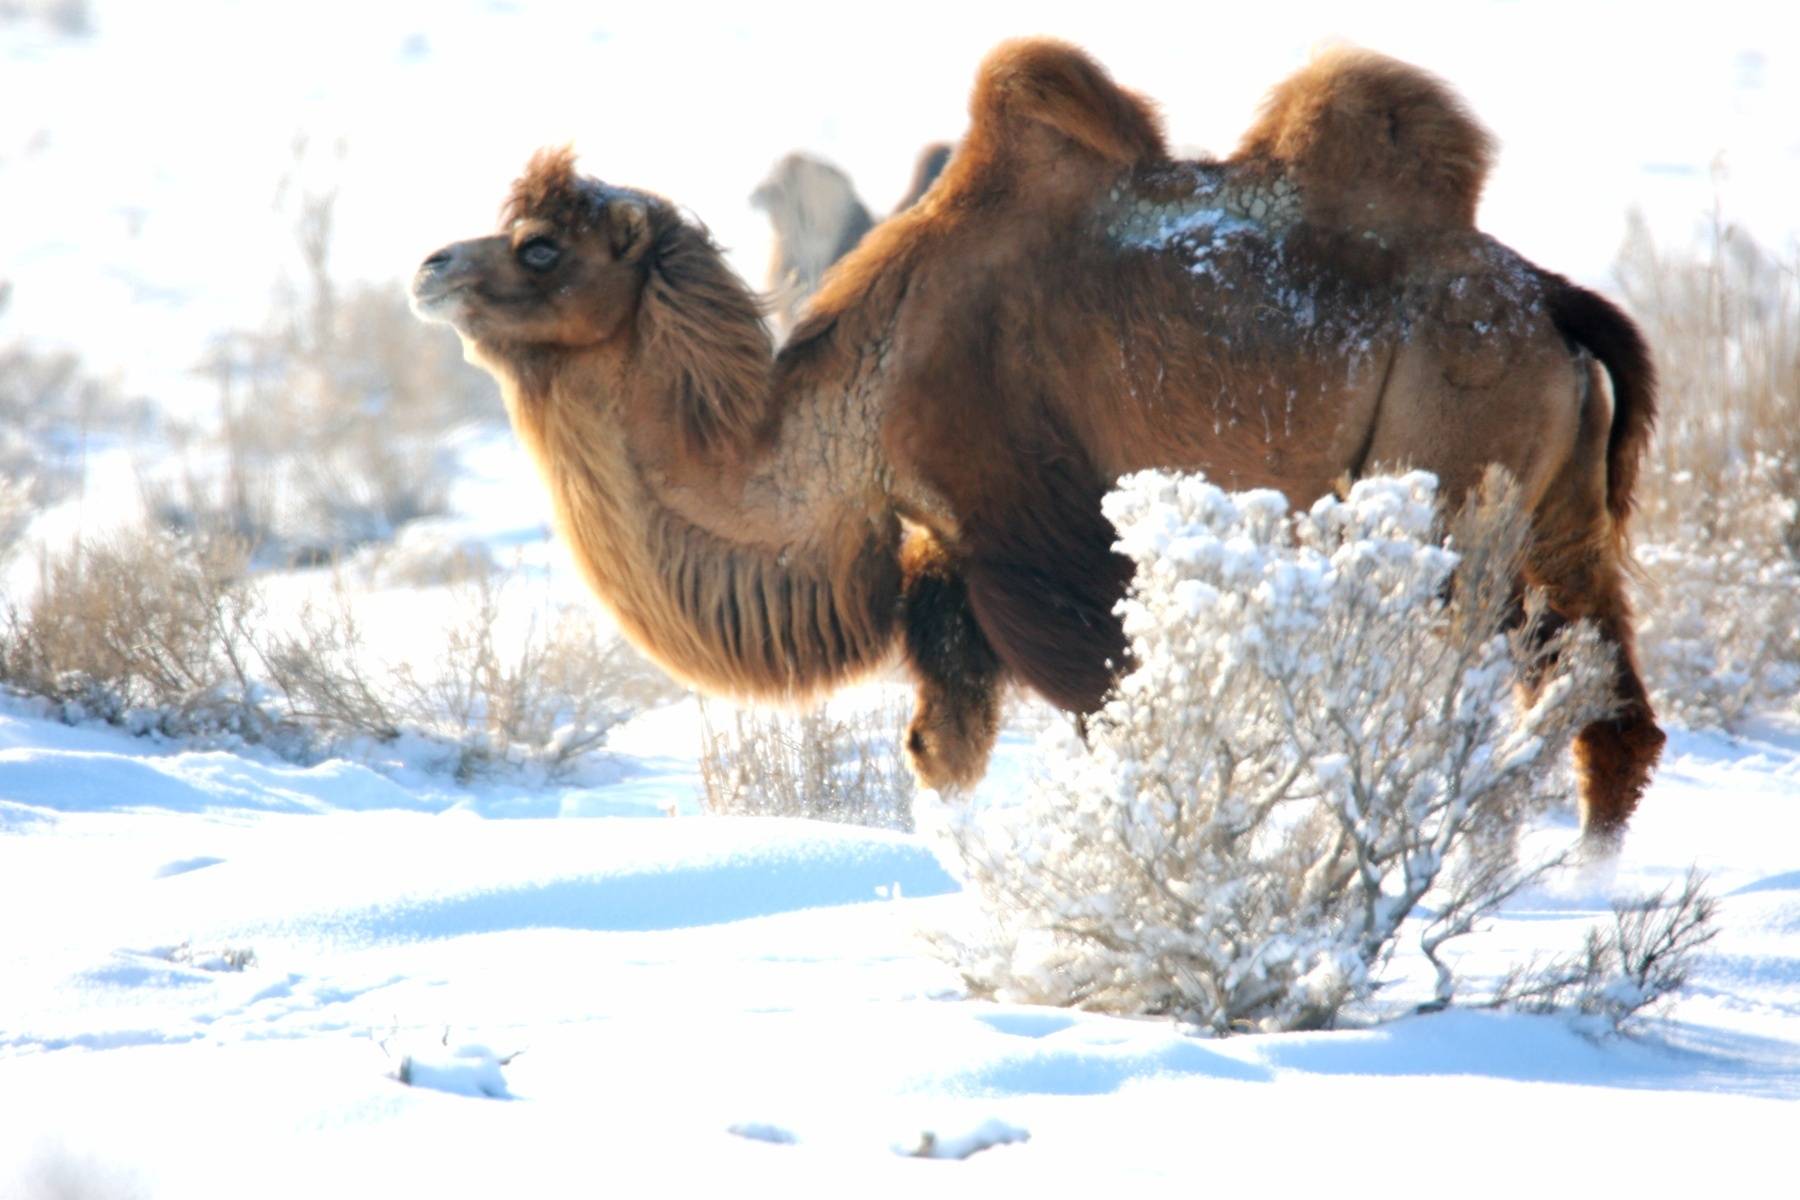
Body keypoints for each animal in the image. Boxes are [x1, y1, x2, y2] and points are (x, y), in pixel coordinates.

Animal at [414, 37, 1663, 845]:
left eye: (538, 247)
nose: (430, 266)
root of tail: (1550, 302)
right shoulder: (944, 567)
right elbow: (941, 753)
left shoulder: (1034, 545)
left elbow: (1108, 721)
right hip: (1553, 507)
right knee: (1605, 706)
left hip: (1445, 482)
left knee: (1452, 694)